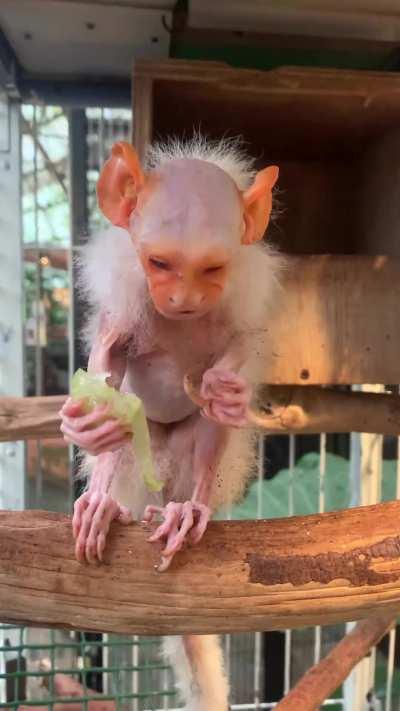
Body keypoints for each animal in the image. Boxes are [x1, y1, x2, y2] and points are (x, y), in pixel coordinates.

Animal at [59, 136, 281, 711]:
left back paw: (188, 508)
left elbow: (239, 359)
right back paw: (102, 502)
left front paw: (229, 392)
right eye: (159, 263)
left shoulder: (234, 311)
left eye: (212, 269)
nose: (182, 301)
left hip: (183, 465)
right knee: (124, 427)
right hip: (142, 456)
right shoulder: (124, 304)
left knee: (204, 441)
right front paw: (87, 424)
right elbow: (108, 368)